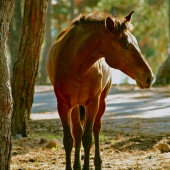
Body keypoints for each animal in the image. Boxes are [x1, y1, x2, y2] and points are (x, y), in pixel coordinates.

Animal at [46, 11, 154, 170]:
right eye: (126, 45)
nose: (149, 77)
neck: (77, 66)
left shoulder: (92, 103)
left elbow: (88, 138)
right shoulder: (63, 105)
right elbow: (68, 139)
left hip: (101, 102)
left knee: (96, 129)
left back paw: (97, 162)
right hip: (76, 106)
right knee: (77, 131)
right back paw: (77, 164)